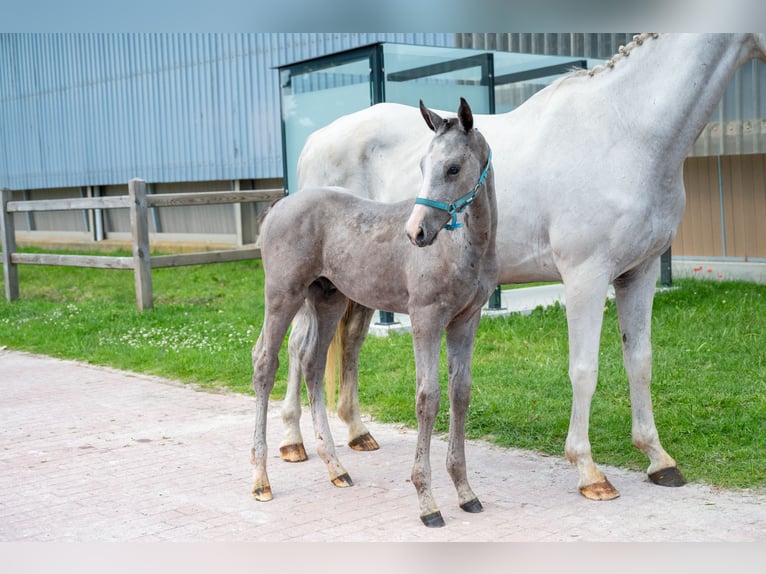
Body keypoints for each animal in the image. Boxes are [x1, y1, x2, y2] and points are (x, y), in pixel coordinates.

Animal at [251, 98, 498, 527]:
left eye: (453, 167)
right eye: (422, 165)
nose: (416, 232)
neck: (464, 246)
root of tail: (280, 204)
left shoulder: (466, 321)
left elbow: (460, 392)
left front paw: (466, 492)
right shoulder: (425, 319)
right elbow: (427, 397)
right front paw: (427, 502)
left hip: (328, 299)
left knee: (312, 363)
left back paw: (336, 468)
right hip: (283, 295)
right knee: (266, 362)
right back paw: (261, 479)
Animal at [282, 33, 766, 501]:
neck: (625, 129)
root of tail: (314, 141)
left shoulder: (640, 273)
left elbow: (641, 362)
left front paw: (658, 458)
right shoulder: (586, 278)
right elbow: (584, 369)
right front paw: (589, 471)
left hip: (354, 287)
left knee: (348, 343)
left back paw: (356, 432)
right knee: (298, 346)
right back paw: (292, 443)